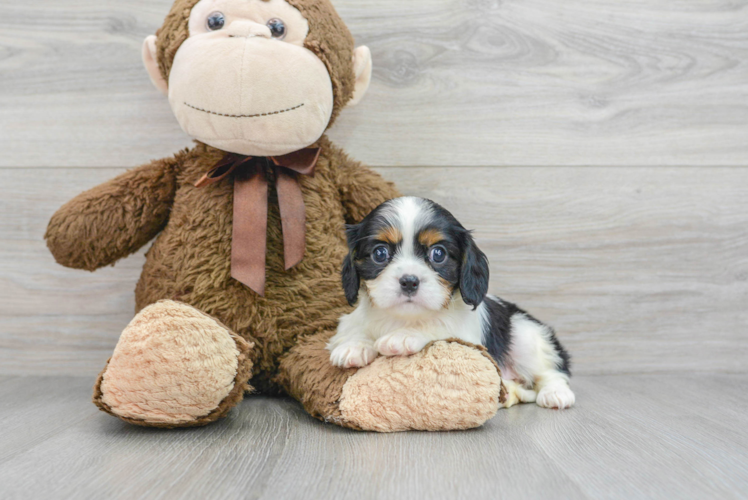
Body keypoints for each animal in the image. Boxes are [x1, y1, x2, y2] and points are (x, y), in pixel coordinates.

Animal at [324, 196, 576, 410]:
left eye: (438, 254)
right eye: (379, 253)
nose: (409, 281)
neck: (404, 318)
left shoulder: (465, 336)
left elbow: (437, 326)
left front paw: (404, 336)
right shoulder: (352, 319)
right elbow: (353, 327)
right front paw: (354, 345)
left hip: (526, 335)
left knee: (552, 371)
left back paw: (556, 394)